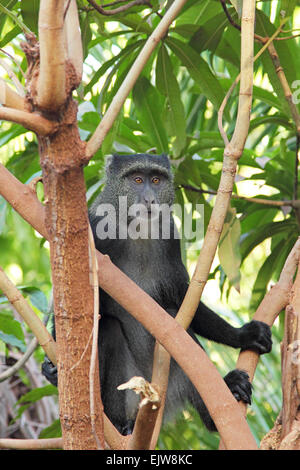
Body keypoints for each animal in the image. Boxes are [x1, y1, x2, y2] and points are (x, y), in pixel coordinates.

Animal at [42, 153, 272, 434]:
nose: (150, 199)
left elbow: (181, 298)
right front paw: (53, 372)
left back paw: (220, 404)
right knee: (108, 328)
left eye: (156, 180)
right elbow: (73, 306)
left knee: (175, 321)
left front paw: (245, 335)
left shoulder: (170, 237)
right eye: (137, 180)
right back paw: (118, 424)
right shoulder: (94, 235)